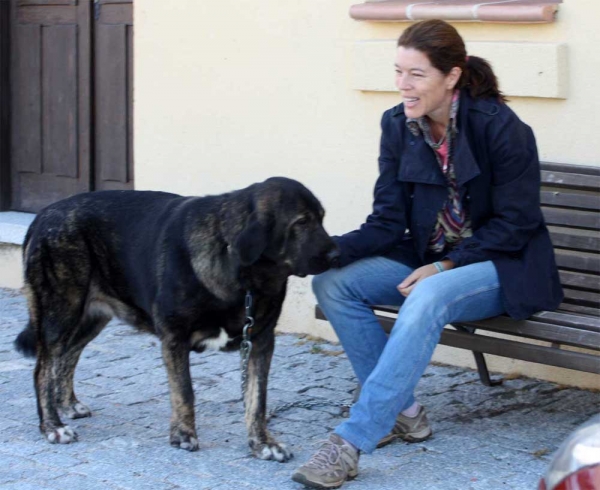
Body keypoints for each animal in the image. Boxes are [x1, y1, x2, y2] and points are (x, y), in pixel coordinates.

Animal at [14, 178, 340, 462]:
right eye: (302, 222)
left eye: (322, 218)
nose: (336, 254)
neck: (242, 271)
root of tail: (42, 216)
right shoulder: (175, 337)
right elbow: (185, 391)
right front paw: (183, 434)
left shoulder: (260, 341)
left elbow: (257, 399)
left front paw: (261, 444)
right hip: (60, 312)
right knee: (43, 369)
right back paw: (52, 426)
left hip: (90, 317)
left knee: (67, 357)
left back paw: (67, 405)